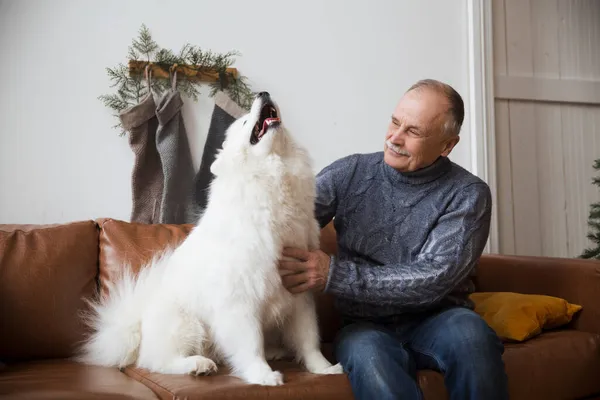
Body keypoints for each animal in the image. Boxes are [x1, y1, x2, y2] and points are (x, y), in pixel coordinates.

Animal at [78, 92, 342, 386]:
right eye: (244, 123)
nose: (262, 93)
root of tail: (138, 325)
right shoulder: (239, 301)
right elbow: (251, 344)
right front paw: (262, 374)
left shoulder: (299, 293)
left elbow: (309, 340)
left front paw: (324, 369)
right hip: (186, 323)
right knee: (157, 361)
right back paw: (198, 364)